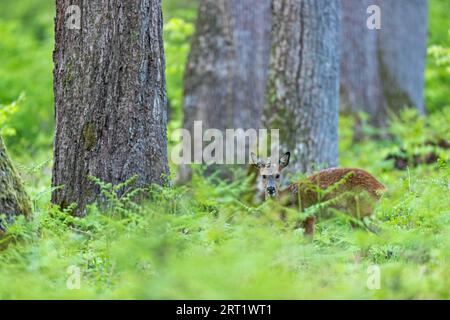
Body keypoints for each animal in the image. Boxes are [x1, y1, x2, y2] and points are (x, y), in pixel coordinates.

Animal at [250, 151, 386, 236]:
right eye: (263, 176)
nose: (270, 189)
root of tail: (380, 187)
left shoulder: (309, 216)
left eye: (277, 175)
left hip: (360, 210)